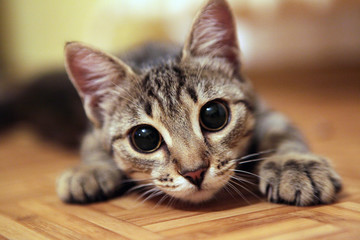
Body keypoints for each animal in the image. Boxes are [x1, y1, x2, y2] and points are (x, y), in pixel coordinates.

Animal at [55, 0, 340, 206]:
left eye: (214, 115)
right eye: (145, 138)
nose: (195, 172)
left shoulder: (264, 109)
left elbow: (281, 132)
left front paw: (295, 164)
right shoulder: (93, 131)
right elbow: (92, 145)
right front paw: (89, 170)